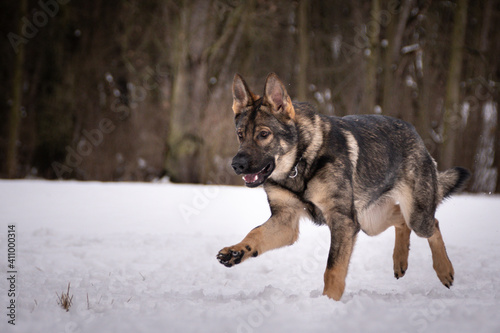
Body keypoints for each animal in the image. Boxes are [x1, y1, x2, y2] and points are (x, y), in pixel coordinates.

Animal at [217, 72, 470, 298]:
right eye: (240, 135)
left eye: (263, 134)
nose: (236, 165)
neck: (301, 160)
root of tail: (416, 134)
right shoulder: (286, 221)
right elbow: (255, 233)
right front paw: (236, 251)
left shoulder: (343, 222)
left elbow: (333, 269)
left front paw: (329, 302)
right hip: (371, 222)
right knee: (401, 220)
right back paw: (400, 260)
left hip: (413, 216)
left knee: (432, 224)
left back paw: (444, 270)